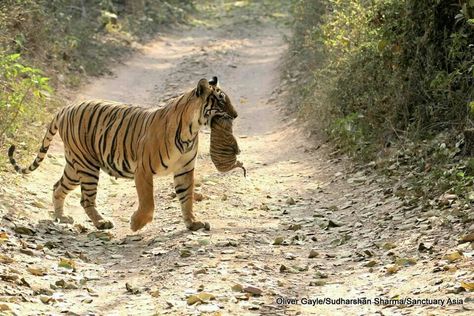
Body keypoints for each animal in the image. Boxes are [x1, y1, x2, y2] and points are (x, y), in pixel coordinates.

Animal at [7, 75, 237, 231]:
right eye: (221, 101)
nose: (236, 115)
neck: (192, 129)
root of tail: (66, 108)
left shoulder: (184, 169)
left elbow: (186, 198)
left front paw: (193, 223)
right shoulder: (143, 170)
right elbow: (148, 202)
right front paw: (136, 224)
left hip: (75, 165)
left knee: (58, 187)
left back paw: (61, 218)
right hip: (87, 166)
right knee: (85, 199)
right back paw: (101, 222)